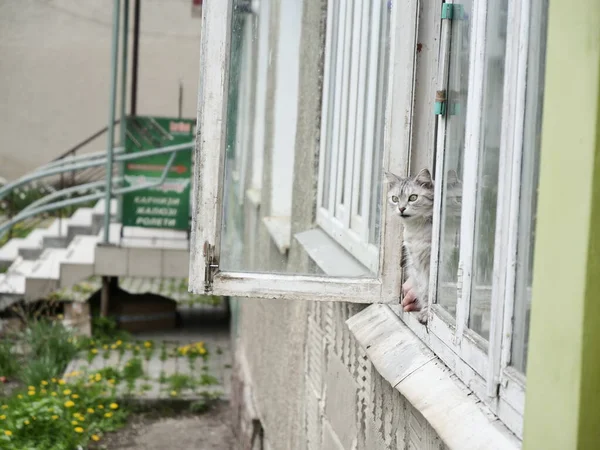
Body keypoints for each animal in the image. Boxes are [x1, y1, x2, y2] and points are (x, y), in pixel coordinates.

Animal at [386, 169, 434, 324]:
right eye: (395, 199)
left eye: (413, 197)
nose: (401, 208)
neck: (416, 229)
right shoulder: (417, 263)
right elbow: (425, 291)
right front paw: (425, 311)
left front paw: (426, 314)